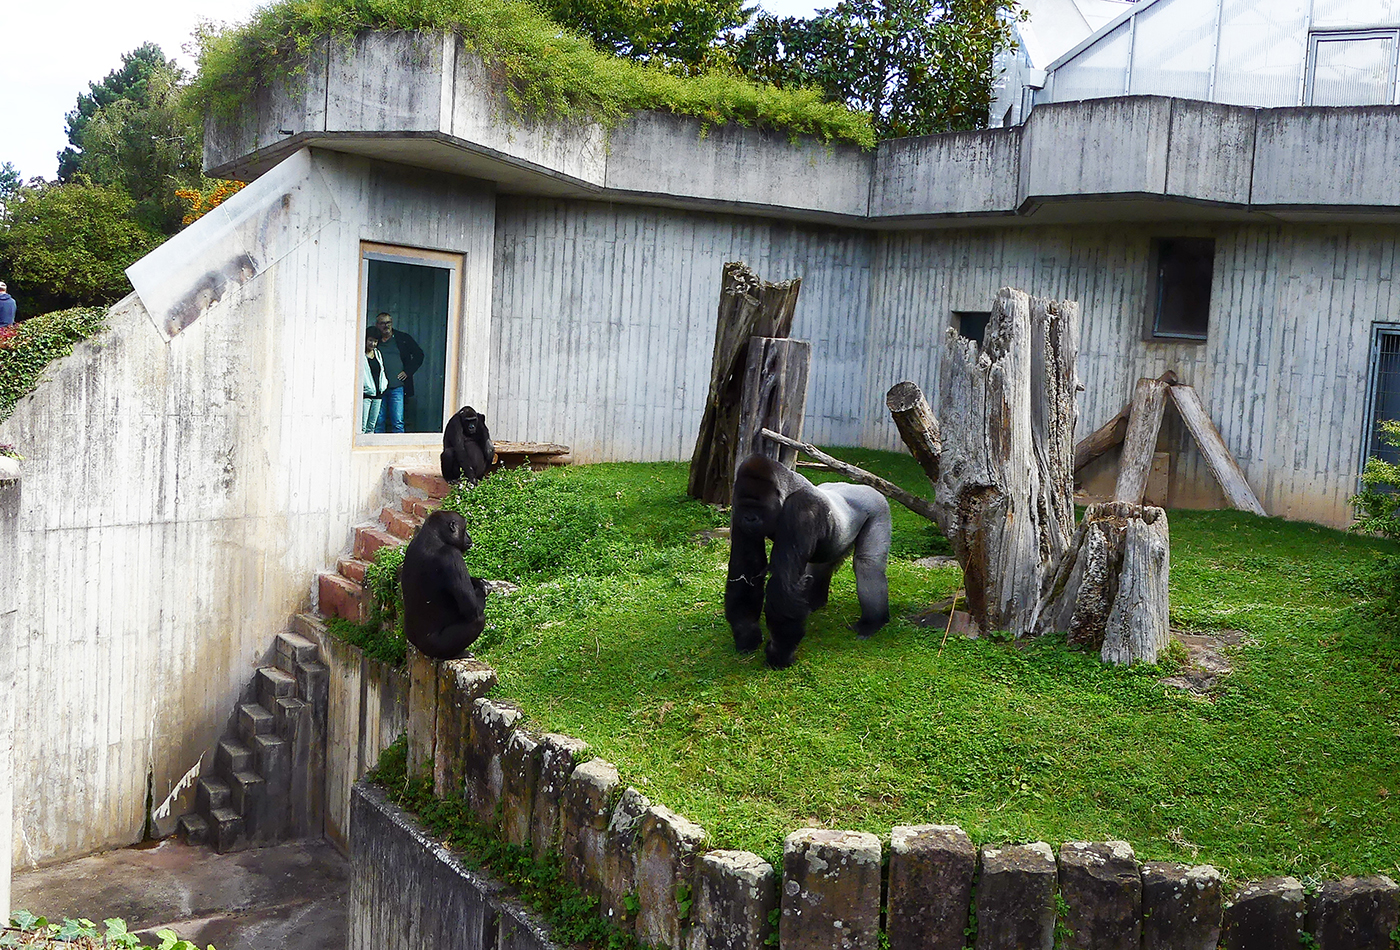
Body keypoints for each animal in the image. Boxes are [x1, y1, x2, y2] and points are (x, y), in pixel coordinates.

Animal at [403, 512, 490, 660]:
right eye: (465, 527)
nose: (469, 536)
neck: (435, 537)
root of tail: (419, 648)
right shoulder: (452, 555)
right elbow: (472, 608)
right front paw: (482, 589)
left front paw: (479, 581)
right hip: (436, 647)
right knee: (478, 620)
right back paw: (458, 653)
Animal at [728, 456, 890, 668]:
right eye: (745, 506)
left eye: (758, 507)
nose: (749, 518)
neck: (789, 490)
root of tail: (864, 487)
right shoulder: (736, 511)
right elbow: (746, 569)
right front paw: (747, 632)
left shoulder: (802, 509)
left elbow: (784, 583)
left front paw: (779, 653)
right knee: (821, 566)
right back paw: (814, 602)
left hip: (879, 507)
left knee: (867, 565)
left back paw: (872, 622)